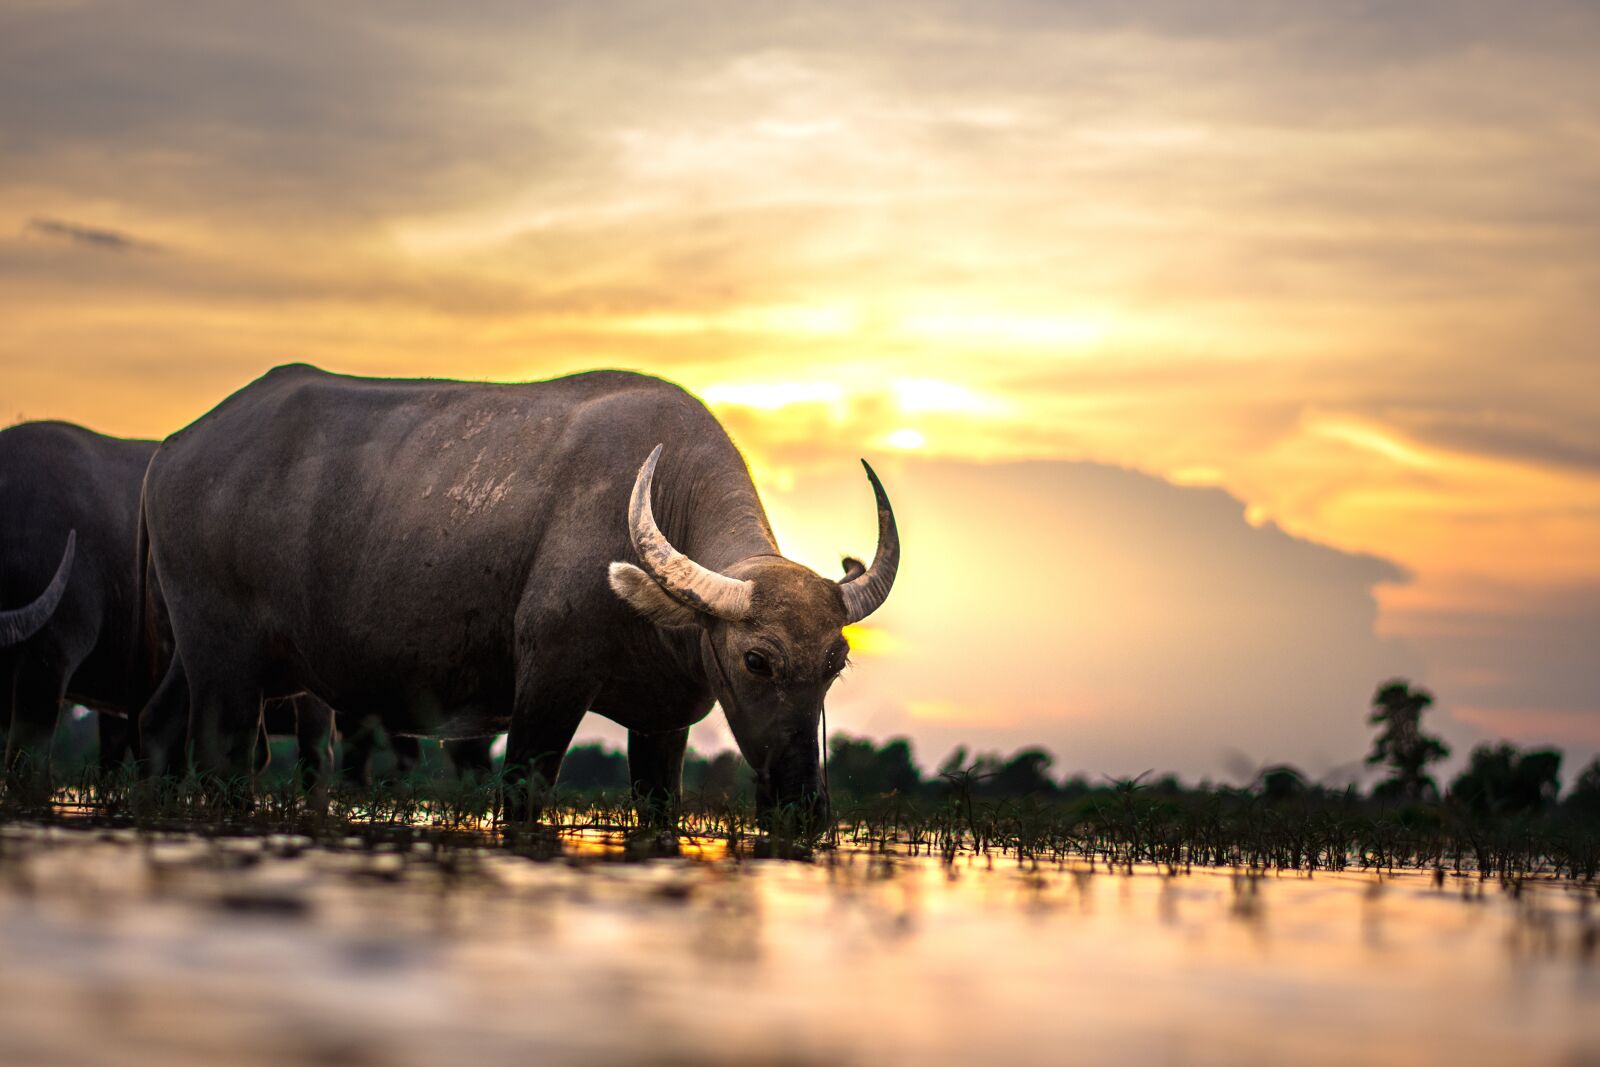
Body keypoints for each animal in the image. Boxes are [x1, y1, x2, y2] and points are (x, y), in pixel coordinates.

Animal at [139, 364, 899, 823]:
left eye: (834, 664)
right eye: (757, 660)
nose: (805, 804)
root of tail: (172, 449)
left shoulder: (661, 725)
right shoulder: (548, 689)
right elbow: (524, 795)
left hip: (201, 663)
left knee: (160, 728)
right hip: (226, 674)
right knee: (226, 760)